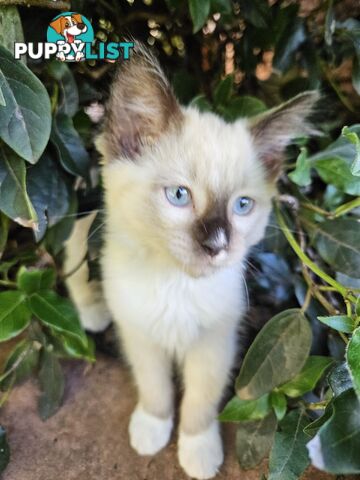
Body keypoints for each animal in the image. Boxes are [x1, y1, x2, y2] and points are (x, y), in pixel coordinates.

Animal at [64, 46, 318, 480]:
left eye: (242, 206)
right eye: (179, 196)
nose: (217, 245)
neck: (177, 284)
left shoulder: (215, 343)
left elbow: (200, 401)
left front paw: (198, 451)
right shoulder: (141, 336)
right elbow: (155, 388)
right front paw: (152, 429)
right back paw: (93, 312)